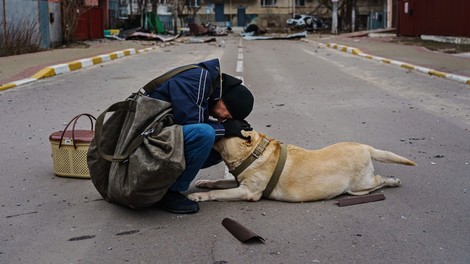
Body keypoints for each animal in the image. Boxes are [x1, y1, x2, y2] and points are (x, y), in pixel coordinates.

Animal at [187, 130, 414, 202]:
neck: (252, 155)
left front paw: (199, 196)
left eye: (225, 127)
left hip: (359, 186)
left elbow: (219, 193)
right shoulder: (238, 183)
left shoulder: (247, 191)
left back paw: (393, 181)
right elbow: (218, 182)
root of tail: (366, 147)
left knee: (379, 181)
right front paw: (205, 182)